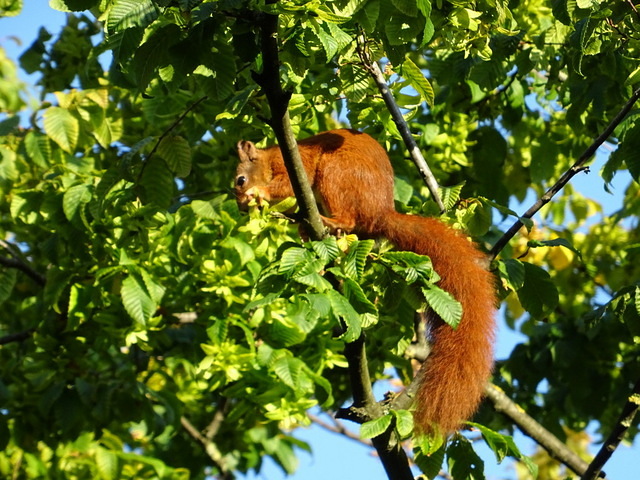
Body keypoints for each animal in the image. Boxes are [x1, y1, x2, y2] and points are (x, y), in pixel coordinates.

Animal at [235, 129, 496, 435]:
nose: (241, 208)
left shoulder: (295, 164)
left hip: (336, 175)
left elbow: (287, 185)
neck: (270, 158)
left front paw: (259, 193)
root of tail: (380, 214)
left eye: (240, 180)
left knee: (347, 218)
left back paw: (329, 222)